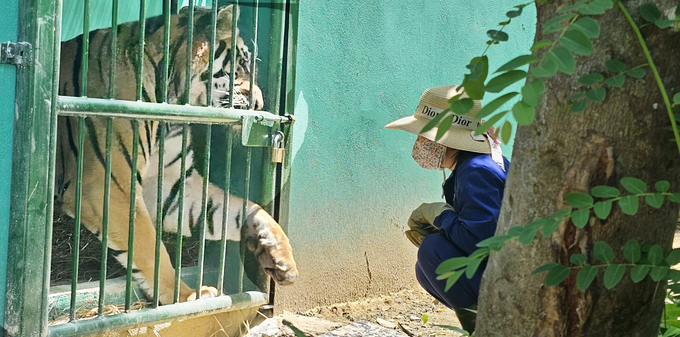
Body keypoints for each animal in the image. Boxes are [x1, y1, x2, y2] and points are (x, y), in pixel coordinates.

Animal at [53, 4, 298, 304]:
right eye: (240, 65)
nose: (260, 104)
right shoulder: (105, 187)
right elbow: (150, 247)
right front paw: (189, 296)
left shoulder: (170, 184)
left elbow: (239, 208)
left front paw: (276, 252)